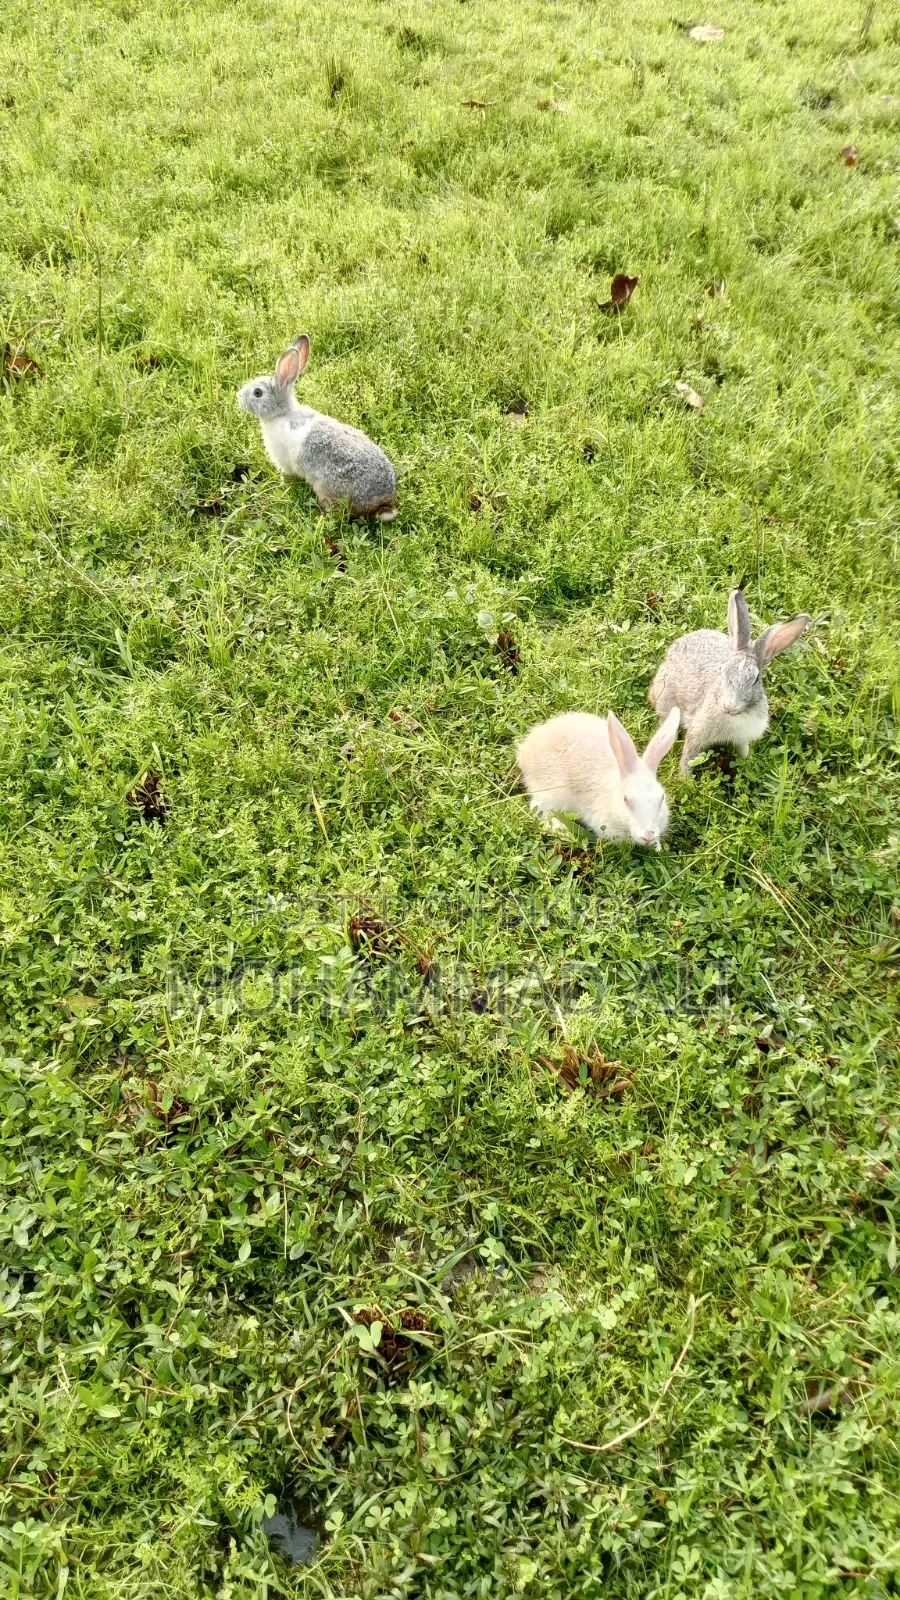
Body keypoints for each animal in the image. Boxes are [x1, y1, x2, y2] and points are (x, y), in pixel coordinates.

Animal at [516, 708, 681, 850]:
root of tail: (524, 751)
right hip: (553, 791)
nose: (648, 835)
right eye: (626, 800)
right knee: (539, 810)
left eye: (661, 798)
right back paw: (563, 831)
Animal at [648, 589, 809, 774]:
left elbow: (743, 750)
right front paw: (683, 777)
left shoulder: (742, 738)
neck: (735, 716)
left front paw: (748, 763)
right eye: (723, 670)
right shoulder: (696, 733)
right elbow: (688, 758)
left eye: (756, 679)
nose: (729, 706)